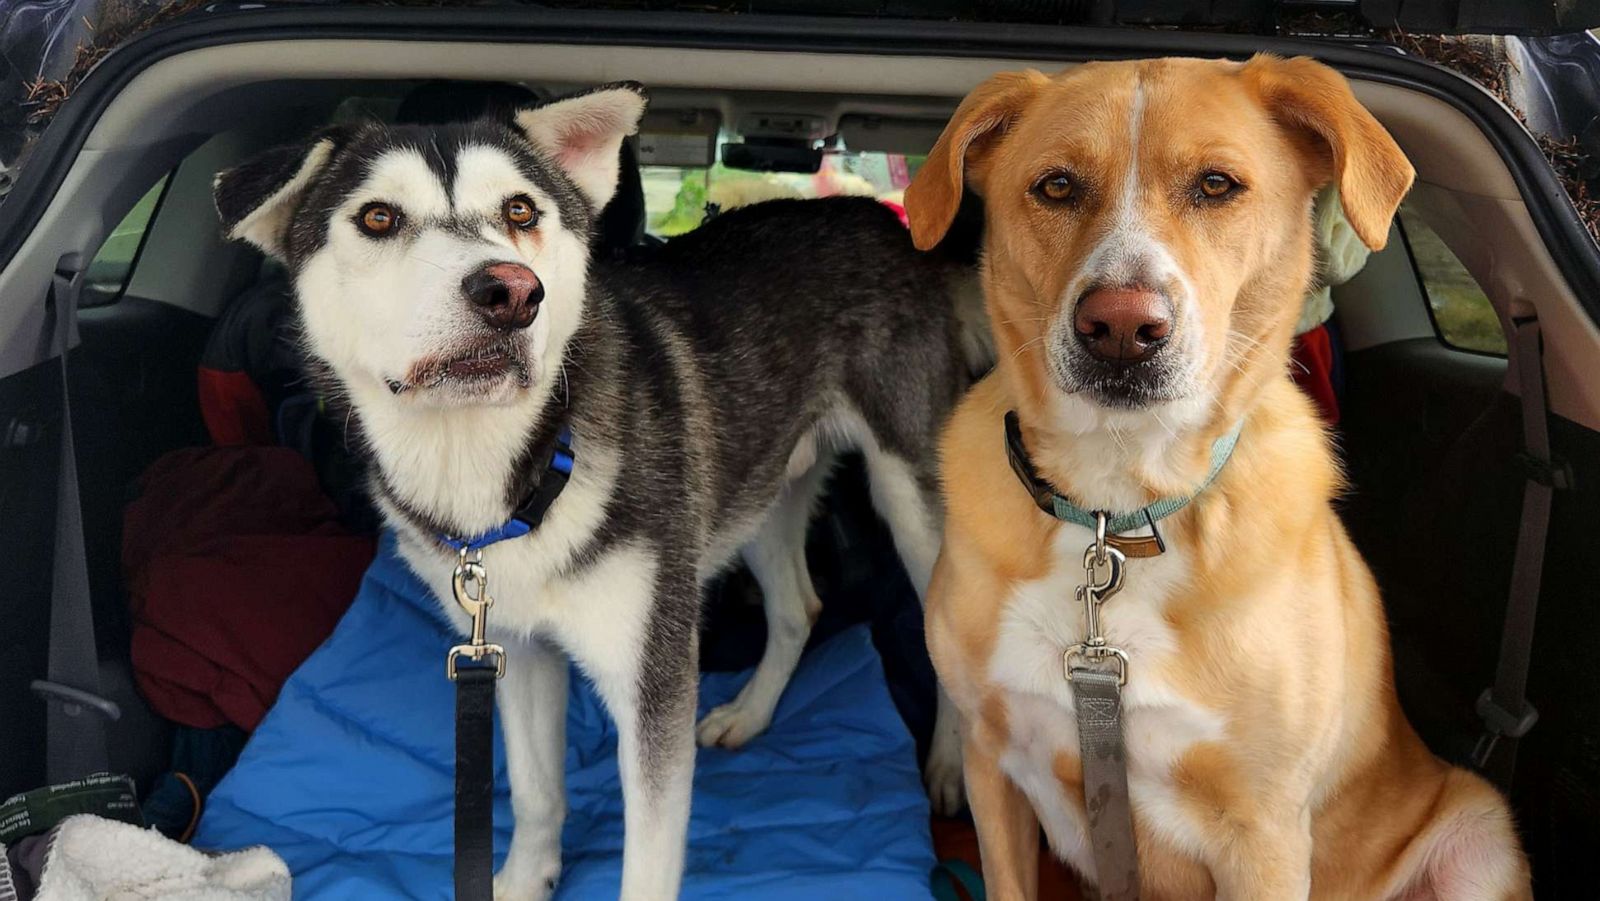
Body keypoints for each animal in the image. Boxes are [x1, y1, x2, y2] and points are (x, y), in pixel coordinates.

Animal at [908, 56, 1529, 901]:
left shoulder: (1262, 832)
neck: (1117, 510)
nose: (1122, 328)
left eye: (1215, 184)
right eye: (1057, 186)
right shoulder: (991, 762)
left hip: (1480, 830)